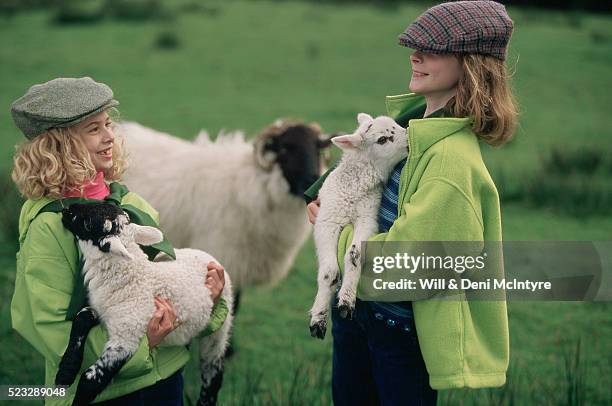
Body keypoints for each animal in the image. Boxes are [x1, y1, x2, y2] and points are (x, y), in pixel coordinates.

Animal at [56, 203, 232, 406]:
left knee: (213, 370)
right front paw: (65, 372)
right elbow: (81, 318)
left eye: (88, 222)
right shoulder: (100, 311)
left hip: (221, 327)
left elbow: (90, 379)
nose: (67, 209)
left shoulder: (127, 336)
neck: (132, 277)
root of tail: (204, 254)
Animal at [308, 112, 408, 338]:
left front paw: (346, 301)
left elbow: (353, 255)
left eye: (397, 125)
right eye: (382, 139)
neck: (355, 187)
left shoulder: (367, 218)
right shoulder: (327, 221)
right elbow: (328, 271)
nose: (410, 136)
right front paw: (318, 318)